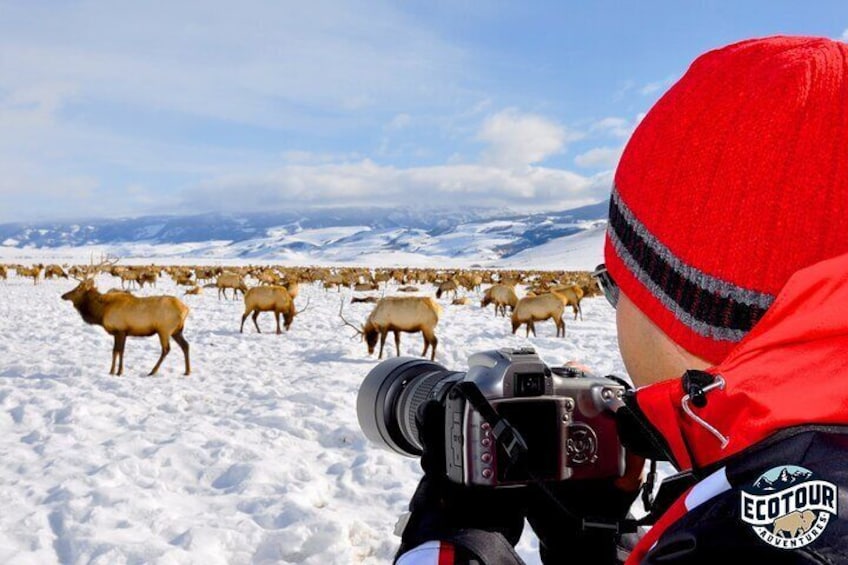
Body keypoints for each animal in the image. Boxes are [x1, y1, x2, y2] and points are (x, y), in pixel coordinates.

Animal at [61, 258, 190, 374]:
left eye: (78, 288)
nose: (63, 295)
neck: (101, 312)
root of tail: (185, 309)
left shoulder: (121, 330)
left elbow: (119, 351)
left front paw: (118, 371)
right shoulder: (119, 332)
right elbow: (115, 351)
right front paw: (112, 371)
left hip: (164, 329)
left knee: (166, 349)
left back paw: (153, 371)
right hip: (177, 330)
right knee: (185, 345)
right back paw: (187, 371)